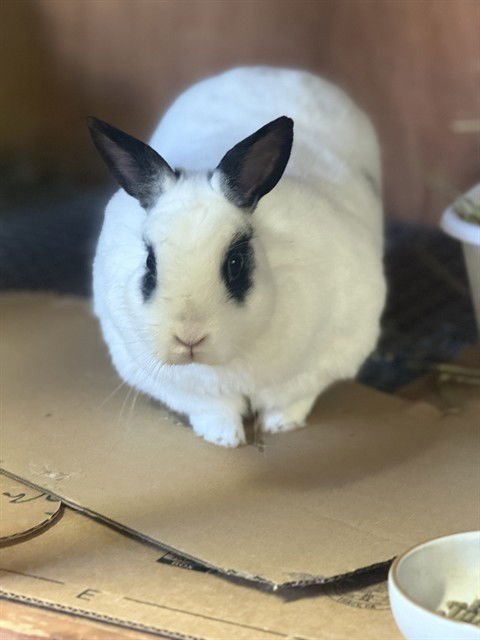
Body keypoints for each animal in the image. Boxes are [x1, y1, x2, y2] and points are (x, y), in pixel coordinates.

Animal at [88, 66, 385, 448]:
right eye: (150, 263)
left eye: (235, 263)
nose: (189, 337)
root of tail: (275, 70)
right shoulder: (178, 386)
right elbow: (213, 410)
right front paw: (225, 440)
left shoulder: (325, 358)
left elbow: (292, 400)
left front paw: (280, 427)